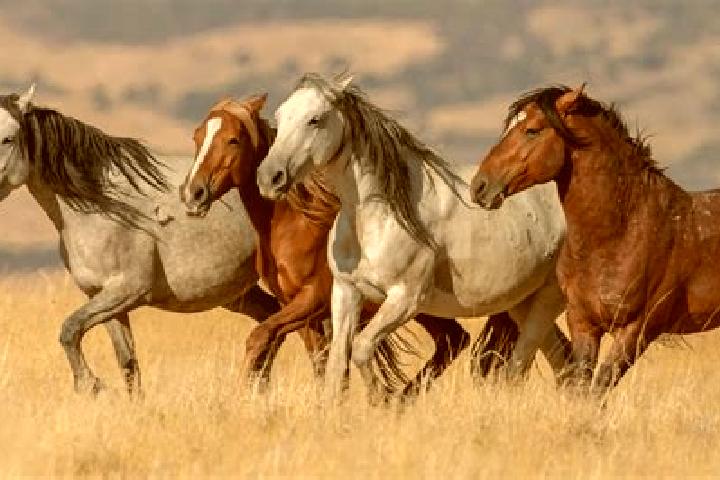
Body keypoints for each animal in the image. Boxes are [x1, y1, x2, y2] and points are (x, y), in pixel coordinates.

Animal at [0, 84, 323, 395]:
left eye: (8, 138)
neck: (102, 205)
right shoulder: (103, 299)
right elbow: (127, 364)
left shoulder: (127, 291)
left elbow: (69, 329)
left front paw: (90, 384)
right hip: (240, 294)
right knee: (273, 324)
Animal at [178, 94, 503, 396]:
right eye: (197, 136)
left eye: (233, 140)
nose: (193, 193)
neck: (295, 225)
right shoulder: (300, 309)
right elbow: (320, 361)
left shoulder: (312, 299)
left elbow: (261, 336)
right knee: (453, 340)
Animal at [256, 73, 572, 401]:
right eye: (280, 116)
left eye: (315, 119)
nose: (269, 177)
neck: (378, 218)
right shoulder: (345, 292)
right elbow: (336, 365)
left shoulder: (404, 299)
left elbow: (362, 348)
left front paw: (382, 400)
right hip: (522, 302)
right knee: (562, 359)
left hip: (548, 299)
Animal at [471, 85, 720, 393]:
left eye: (532, 130)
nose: (479, 186)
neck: (621, 234)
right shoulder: (583, 323)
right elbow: (581, 387)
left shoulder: (637, 329)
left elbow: (598, 388)